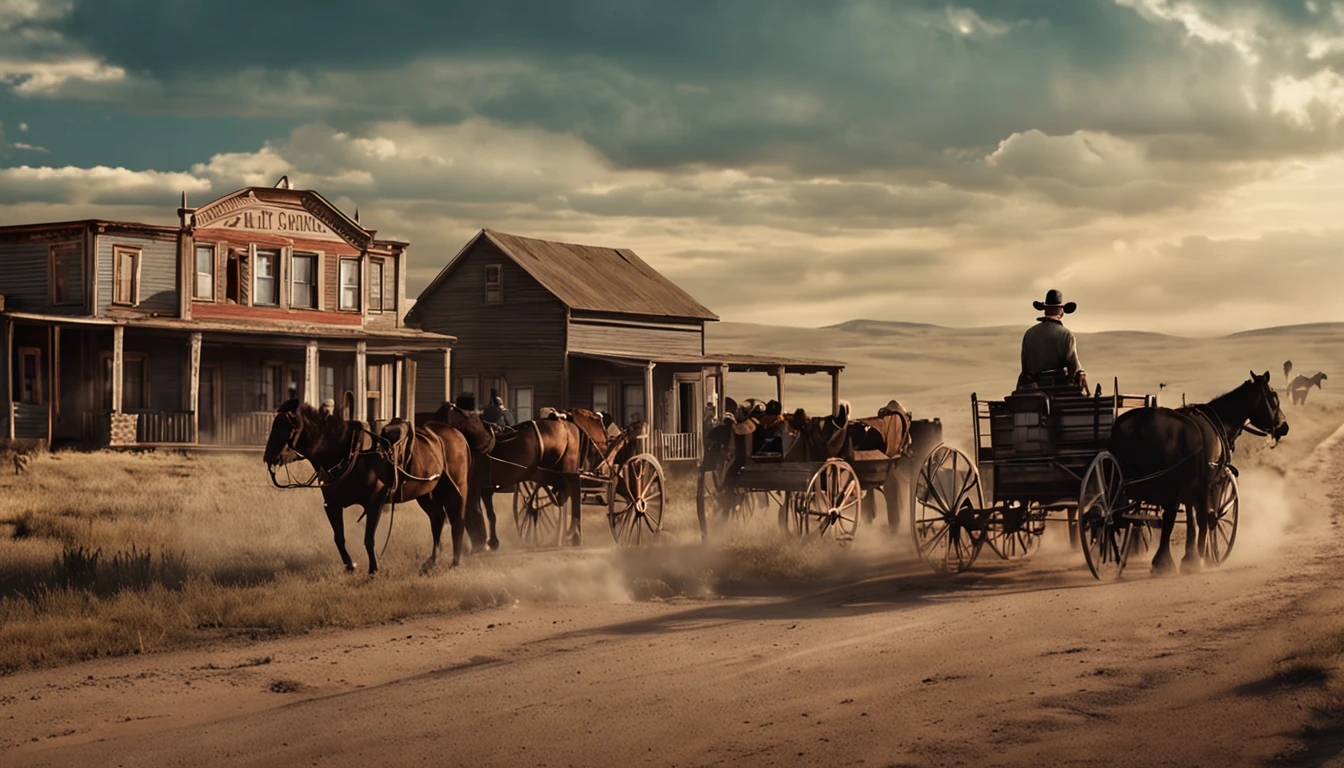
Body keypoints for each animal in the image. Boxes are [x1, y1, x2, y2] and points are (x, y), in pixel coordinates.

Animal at [1107, 368, 1284, 572]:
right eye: (1273, 396)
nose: (1284, 426)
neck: (1220, 421)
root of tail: (1137, 424)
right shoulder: (1211, 482)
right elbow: (1207, 517)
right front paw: (1201, 558)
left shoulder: (1192, 486)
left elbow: (1193, 520)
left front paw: (1191, 556)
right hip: (1170, 485)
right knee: (1168, 517)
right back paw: (1162, 562)